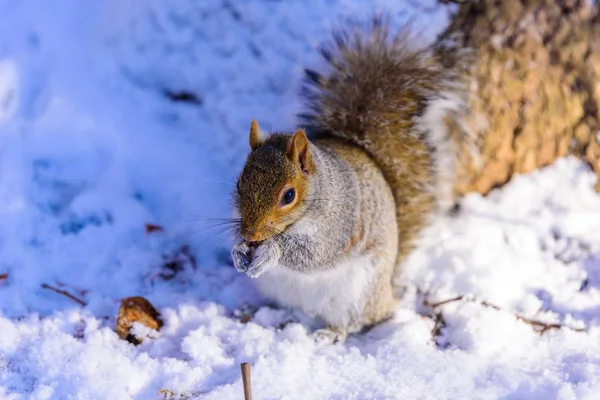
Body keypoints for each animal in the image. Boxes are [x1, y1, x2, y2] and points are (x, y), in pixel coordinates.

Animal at [230, 17, 468, 342]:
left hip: (359, 291)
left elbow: (313, 255)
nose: (250, 235)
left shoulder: (339, 224)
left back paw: (328, 334)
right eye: (239, 184)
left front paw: (270, 251)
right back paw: (252, 310)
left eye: (288, 195)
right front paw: (237, 251)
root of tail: (388, 292)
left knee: (357, 321)